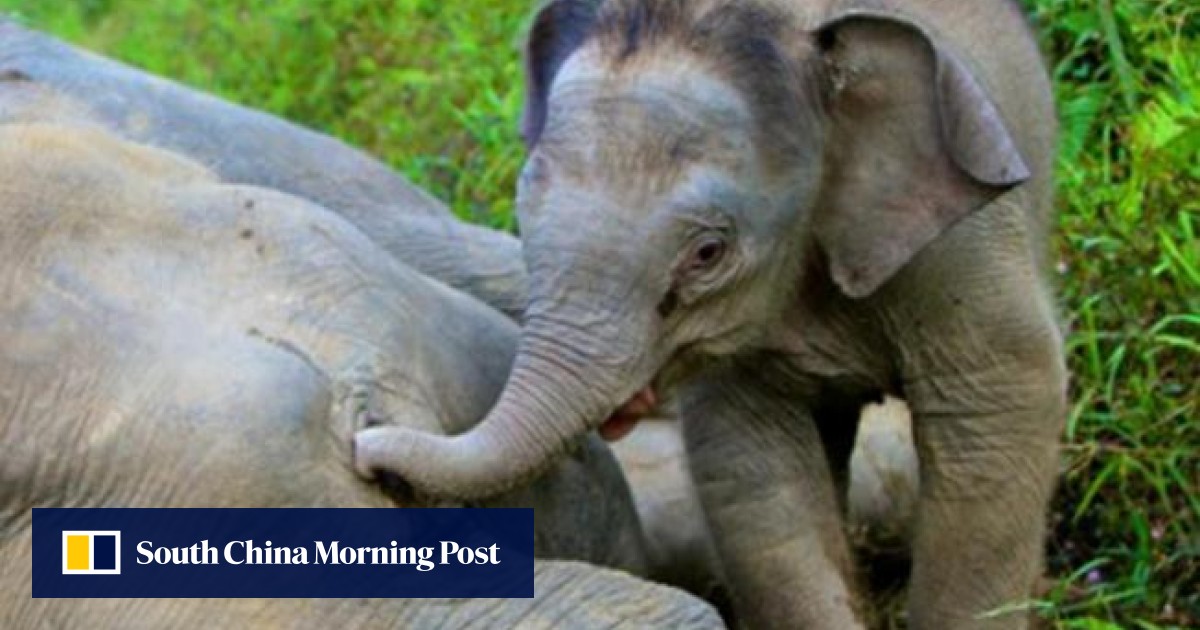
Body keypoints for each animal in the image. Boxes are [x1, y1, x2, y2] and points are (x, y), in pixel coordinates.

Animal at [354, 0, 1066, 628]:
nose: (366, 452)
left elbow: (996, 416)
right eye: (522, 214)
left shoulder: (963, 241)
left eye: (707, 253)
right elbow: (752, 467)